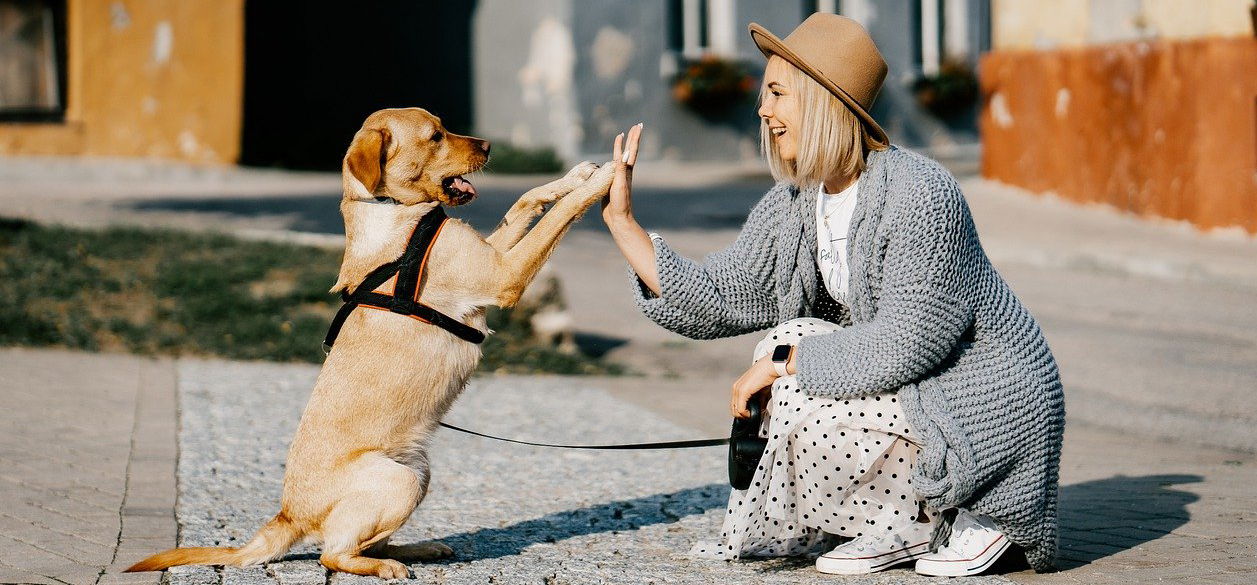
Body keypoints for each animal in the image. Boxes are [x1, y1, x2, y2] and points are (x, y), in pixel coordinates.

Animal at [125, 106, 615, 576]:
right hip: (399, 481)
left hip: (418, 471)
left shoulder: (493, 255)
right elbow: (558, 217)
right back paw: (385, 566)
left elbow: (525, 200)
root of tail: (288, 515)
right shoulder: (503, 275)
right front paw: (605, 178)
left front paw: (576, 176)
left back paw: (417, 549)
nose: (489, 145)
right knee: (333, 554)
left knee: (363, 542)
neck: (391, 209)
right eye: (435, 136)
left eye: (443, 127)